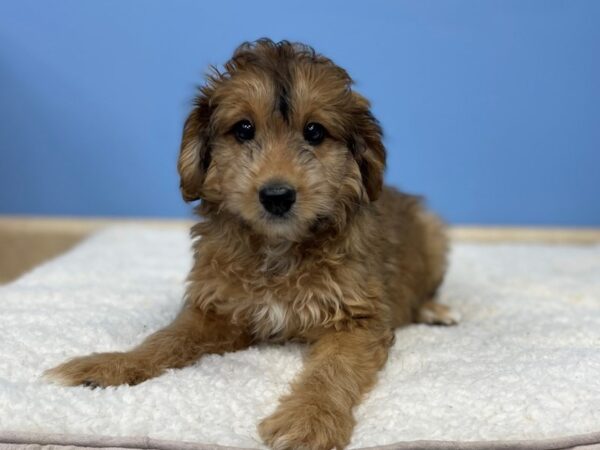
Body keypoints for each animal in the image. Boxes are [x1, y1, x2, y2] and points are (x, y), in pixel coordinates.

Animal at [47, 39, 458, 450]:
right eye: (244, 129)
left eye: (314, 132)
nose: (277, 196)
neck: (277, 249)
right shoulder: (216, 309)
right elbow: (165, 338)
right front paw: (113, 364)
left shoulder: (358, 320)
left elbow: (332, 370)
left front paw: (310, 418)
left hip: (434, 235)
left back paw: (435, 310)